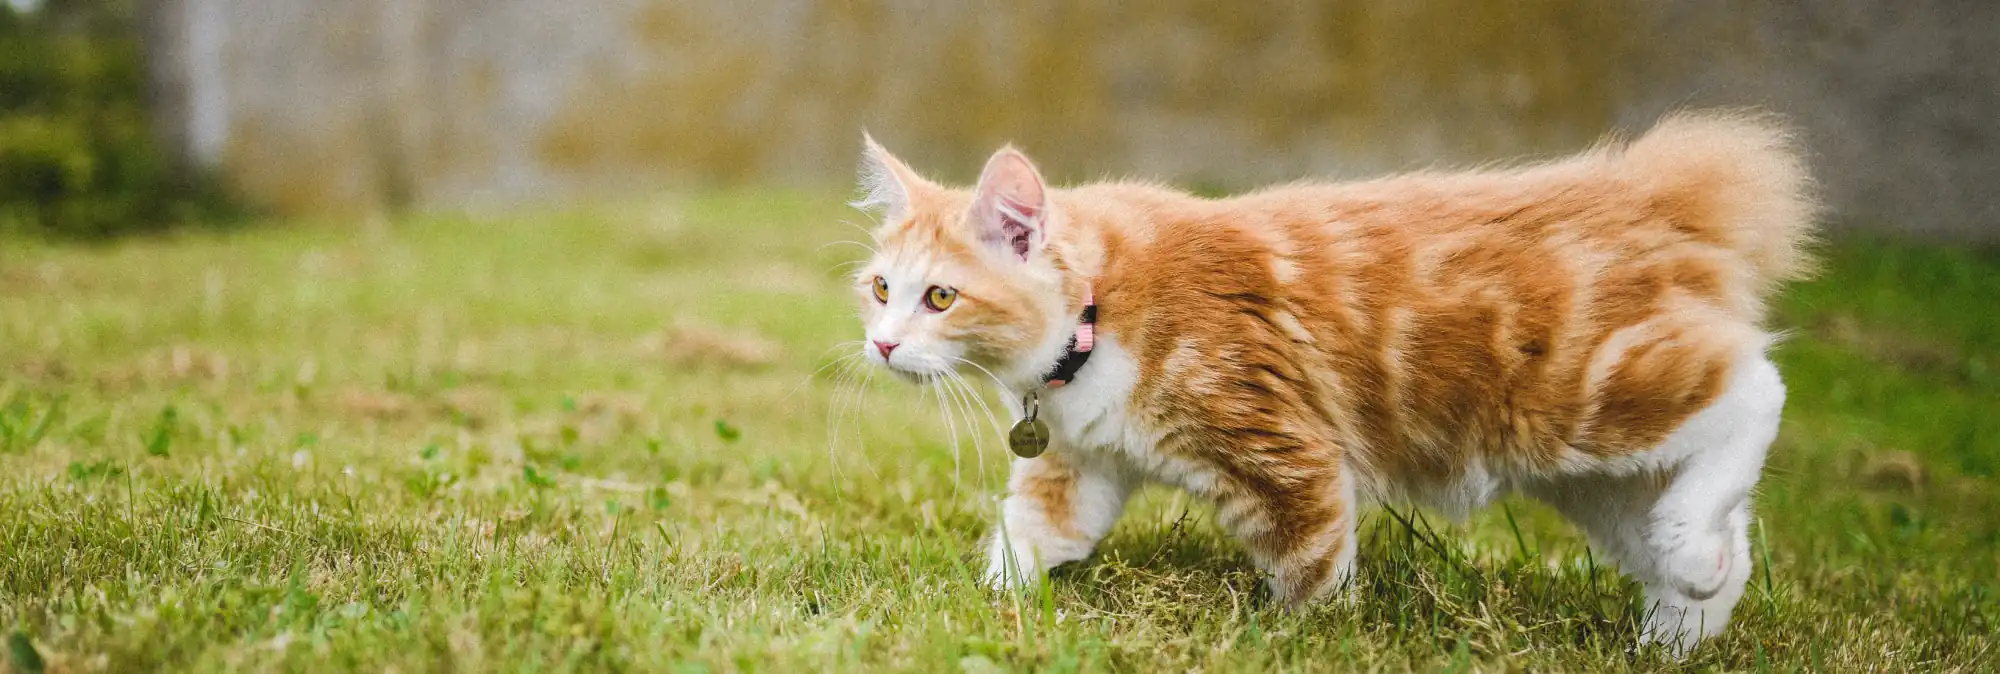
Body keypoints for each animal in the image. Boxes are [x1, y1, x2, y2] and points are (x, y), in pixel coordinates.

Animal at [852, 111, 1824, 652]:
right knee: (1714, 547)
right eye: (881, 289)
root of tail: (1645, 195)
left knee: (1757, 387)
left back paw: (1690, 558)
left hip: (1583, 393)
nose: (884, 346)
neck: (1100, 308)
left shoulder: (1284, 452)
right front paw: (987, 609)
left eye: (940, 297)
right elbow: (1029, 539)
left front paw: (1307, 638)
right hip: (1599, 477)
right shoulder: (1079, 463)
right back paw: (1678, 617)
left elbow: (1313, 567)